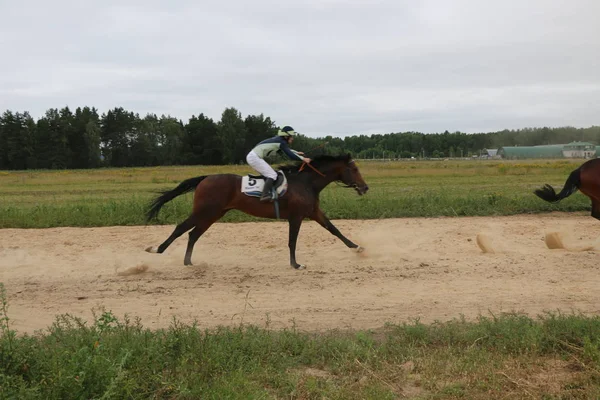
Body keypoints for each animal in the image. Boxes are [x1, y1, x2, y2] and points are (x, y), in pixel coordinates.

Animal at [145, 153, 370, 268]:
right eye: (355, 169)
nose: (365, 187)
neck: (306, 182)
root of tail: (205, 178)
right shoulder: (296, 216)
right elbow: (292, 240)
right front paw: (295, 264)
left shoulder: (313, 212)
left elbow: (334, 229)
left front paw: (358, 247)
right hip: (205, 211)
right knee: (181, 228)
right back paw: (157, 249)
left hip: (214, 214)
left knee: (193, 234)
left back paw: (188, 261)